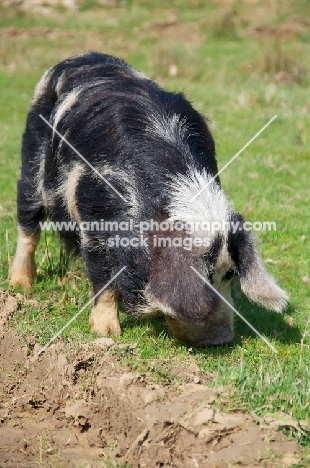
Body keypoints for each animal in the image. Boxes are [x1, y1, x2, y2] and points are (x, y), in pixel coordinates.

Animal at [8, 52, 288, 348]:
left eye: (231, 274)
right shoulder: (92, 217)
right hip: (31, 161)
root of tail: (80, 57)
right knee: (28, 224)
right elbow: (103, 275)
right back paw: (20, 285)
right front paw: (108, 333)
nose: (223, 339)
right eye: (205, 278)